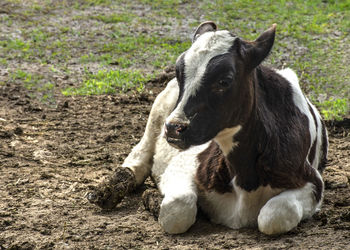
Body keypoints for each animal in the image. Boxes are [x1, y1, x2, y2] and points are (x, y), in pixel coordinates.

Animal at [88, 22, 328, 235]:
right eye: (179, 73)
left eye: (224, 80)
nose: (174, 127)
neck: (244, 176)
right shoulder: (183, 164)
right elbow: (178, 209)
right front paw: (153, 199)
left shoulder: (312, 183)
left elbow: (274, 216)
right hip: (158, 111)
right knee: (140, 156)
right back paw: (105, 192)